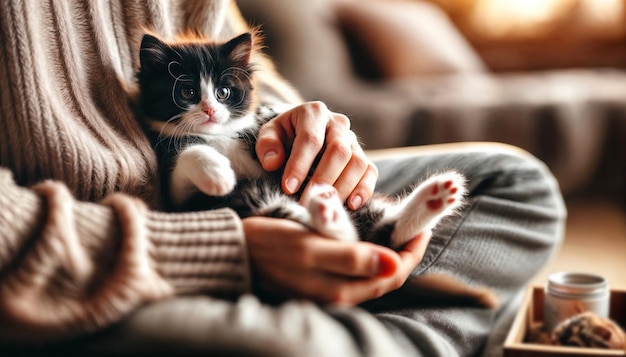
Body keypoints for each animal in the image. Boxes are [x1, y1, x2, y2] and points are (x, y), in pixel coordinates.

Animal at [135, 32, 492, 306]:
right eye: (187, 92)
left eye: (224, 92)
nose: (210, 111)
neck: (218, 134)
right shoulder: (179, 195)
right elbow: (188, 155)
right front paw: (217, 173)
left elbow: (271, 122)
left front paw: (291, 119)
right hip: (252, 202)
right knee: (352, 239)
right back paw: (328, 213)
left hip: (353, 205)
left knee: (382, 233)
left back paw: (435, 196)